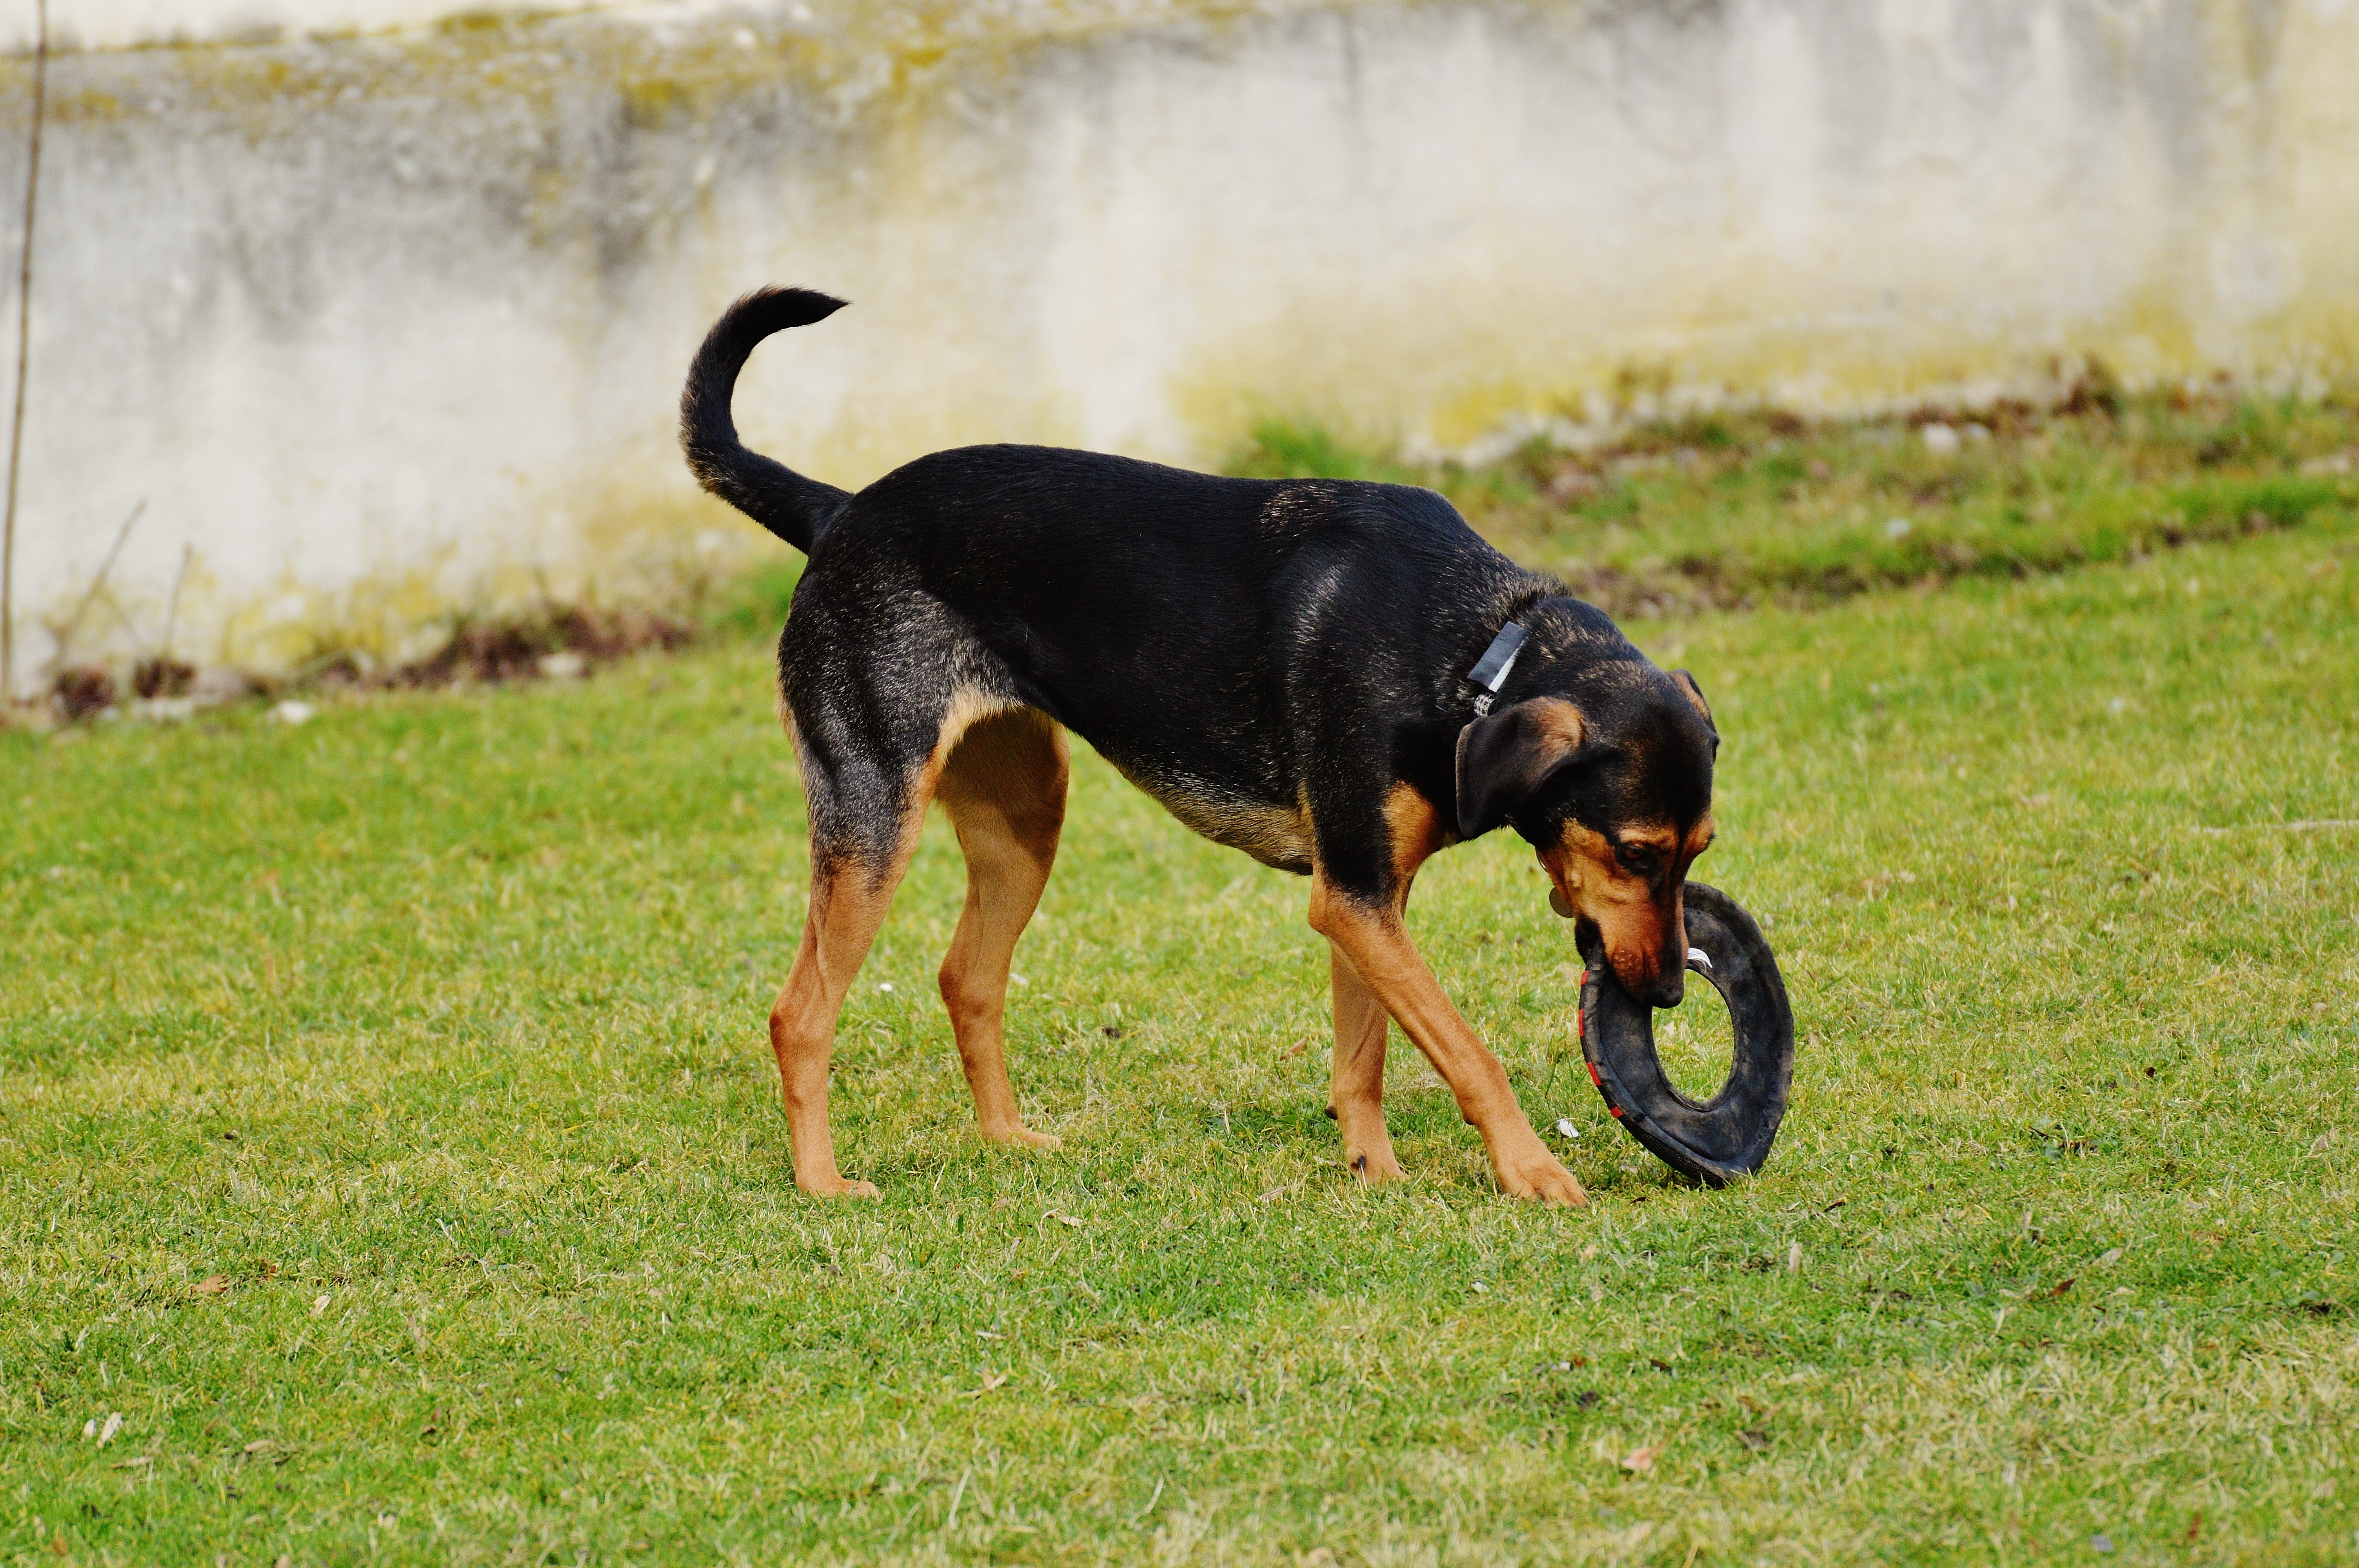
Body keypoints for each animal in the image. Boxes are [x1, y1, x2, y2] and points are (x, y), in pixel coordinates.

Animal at [684, 287, 1717, 1202]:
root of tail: (840, 511)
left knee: (965, 979)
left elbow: (1364, 1058)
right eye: (1634, 852)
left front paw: (1374, 1174)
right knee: (799, 1015)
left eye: (1699, 852)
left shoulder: (1367, 898)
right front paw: (1531, 1172)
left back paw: (1008, 1139)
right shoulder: (1354, 898)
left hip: (1025, 818)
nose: (1671, 992)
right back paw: (822, 1184)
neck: (1475, 652)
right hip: (871, 821)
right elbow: (1468, 1052)